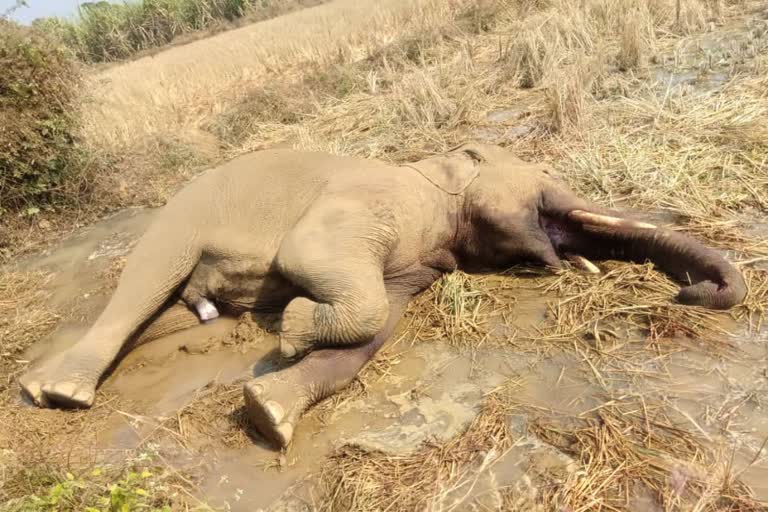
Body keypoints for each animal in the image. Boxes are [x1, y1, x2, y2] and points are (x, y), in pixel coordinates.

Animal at [21, 142, 748, 446]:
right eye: (546, 185)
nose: (688, 297)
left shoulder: (416, 262)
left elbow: (375, 330)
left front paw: (268, 413)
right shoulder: (374, 202)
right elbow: (319, 266)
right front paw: (290, 327)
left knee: (167, 312)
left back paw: (33, 384)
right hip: (181, 216)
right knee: (144, 286)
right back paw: (62, 393)